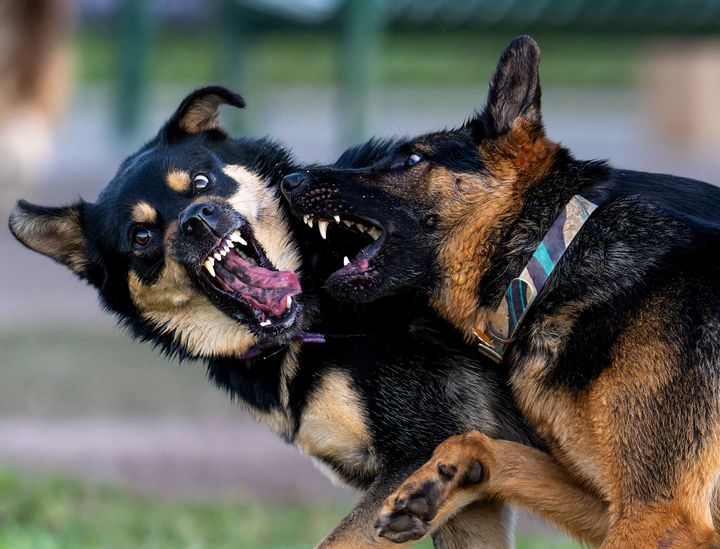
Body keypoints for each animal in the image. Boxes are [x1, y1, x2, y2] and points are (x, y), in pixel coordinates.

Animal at [7, 86, 540, 548]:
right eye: (141, 236)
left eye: (201, 182)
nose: (199, 220)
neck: (323, 276)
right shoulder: (463, 486)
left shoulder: (425, 452)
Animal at [282, 38, 720, 548]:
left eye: (411, 160)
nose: (290, 181)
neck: (548, 262)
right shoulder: (618, 508)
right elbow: (477, 441)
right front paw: (452, 475)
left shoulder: (657, 514)